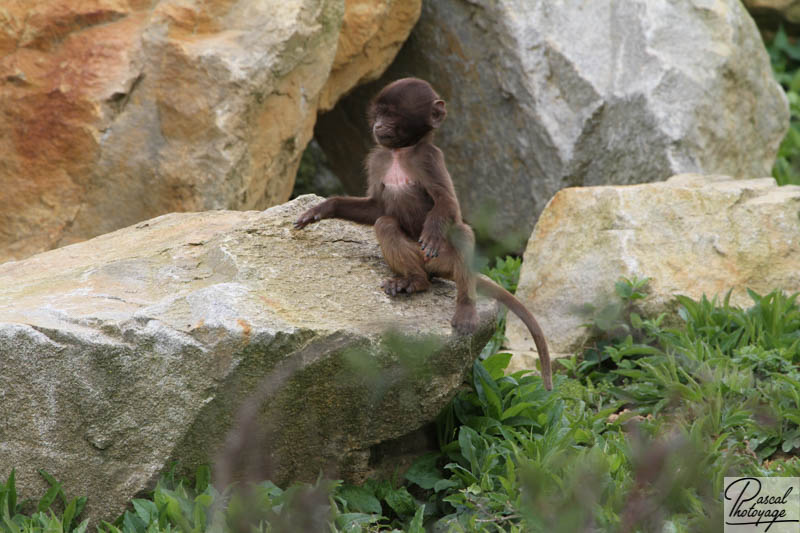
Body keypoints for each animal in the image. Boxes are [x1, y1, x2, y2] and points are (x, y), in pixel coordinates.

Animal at [294, 77, 552, 388]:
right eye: (378, 113)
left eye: (391, 114)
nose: (377, 126)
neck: (400, 152)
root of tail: (434, 269)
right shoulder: (377, 158)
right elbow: (377, 208)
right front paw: (322, 209)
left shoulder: (431, 158)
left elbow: (448, 204)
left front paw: (431, 231)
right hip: (419, 259)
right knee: (386, 224)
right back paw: (413, 282)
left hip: (445, 257)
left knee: (462, 232)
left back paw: (465, 307)